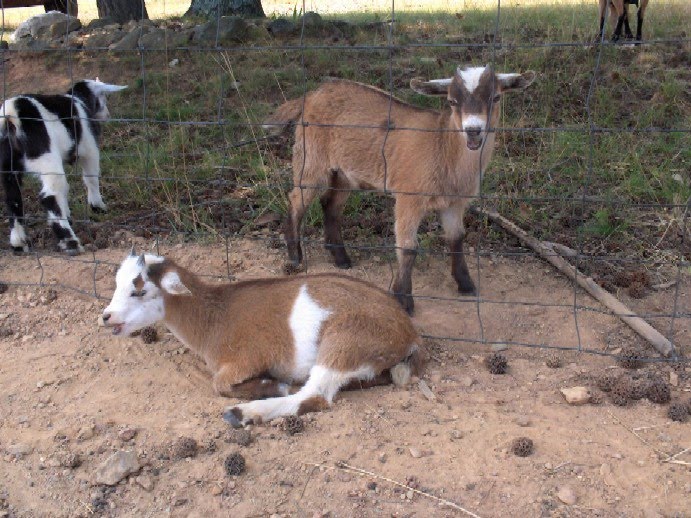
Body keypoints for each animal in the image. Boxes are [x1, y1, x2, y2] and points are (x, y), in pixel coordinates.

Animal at [0, 79, 127, 255]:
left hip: (9, 166)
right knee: (49, 195)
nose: (107, 116)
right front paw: (98, 206)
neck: (80, 100)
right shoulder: (90, 149)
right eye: (103, 97)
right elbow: (91, 178)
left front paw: (68, 213)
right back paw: (70, 242)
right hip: (45, 157)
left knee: (13, 198)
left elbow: (66, 190)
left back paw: (18, 243)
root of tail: (11, 114)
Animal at [102, 251, 423, 427]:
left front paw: (272, 385)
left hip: (347, 340)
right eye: (116, 284)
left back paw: (243, 414)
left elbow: (219, 384)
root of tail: (408, 332)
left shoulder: (245, 359)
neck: (214, 319)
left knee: (315, 395)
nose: (107, 317)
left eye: (139, 290)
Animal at [264, 65, 535, 314]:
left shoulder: (455, 202)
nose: (473, 130)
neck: (442, 147)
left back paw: (341, 259)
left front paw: (466, 284)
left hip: (344, 173)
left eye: (496, 97)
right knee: (297, 199)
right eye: (451, 101)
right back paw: (295, 256)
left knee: (330, 204)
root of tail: (311, 95)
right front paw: (403, 299)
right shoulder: (409, 197)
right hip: (311, 157)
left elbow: (456, 237)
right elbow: (408, 247)